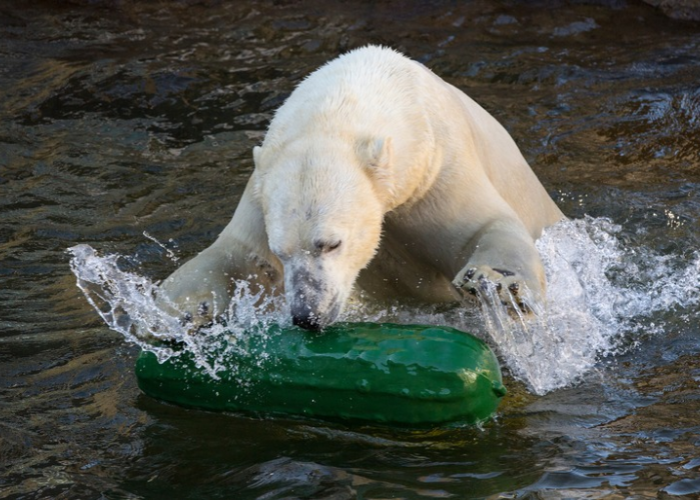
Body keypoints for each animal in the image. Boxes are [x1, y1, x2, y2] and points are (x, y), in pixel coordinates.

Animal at [157, 45, 564, 331]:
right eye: (281, 251)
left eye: (331, 243)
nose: (307, 315)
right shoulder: (263, 186)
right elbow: (241, 254)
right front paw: (173, 310)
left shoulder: (436, 171)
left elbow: (481, 225)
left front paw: (496, 282)